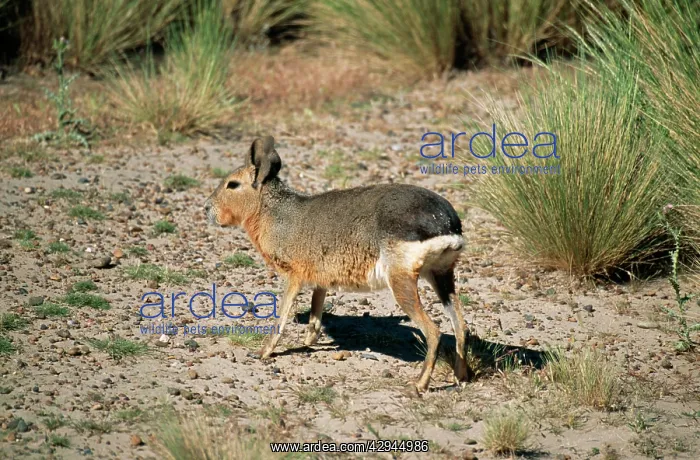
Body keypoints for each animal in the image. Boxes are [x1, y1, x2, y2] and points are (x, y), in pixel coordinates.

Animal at [205, 136, 471, 393]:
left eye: (232, 184)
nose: (207, 207)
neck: (276, 214)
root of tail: (445, 221)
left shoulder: (294, 275)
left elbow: (281, 315)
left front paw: (264, 351)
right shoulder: (320, 276)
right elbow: (316, 309)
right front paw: (309, 340)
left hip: (402, 280)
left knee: (434, 332)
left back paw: (419, 385)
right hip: (441, 275)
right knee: (461, 325)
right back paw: (462, 376)